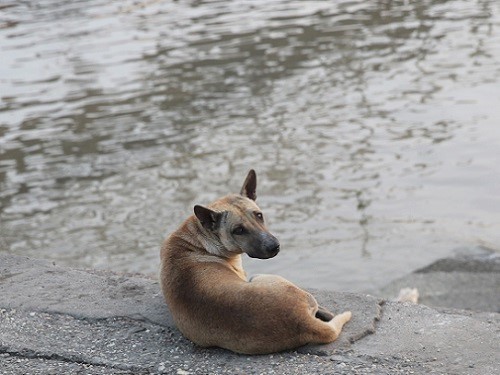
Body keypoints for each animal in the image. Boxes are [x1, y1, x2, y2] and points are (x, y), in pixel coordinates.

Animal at [160, 170, 352, 356]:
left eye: (259, 215)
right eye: (238, 230)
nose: (274, 246)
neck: (198, 237)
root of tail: (302, 321)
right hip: (263, 277)